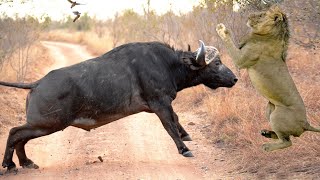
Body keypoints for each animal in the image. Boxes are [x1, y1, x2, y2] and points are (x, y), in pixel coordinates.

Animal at [0, 40, 238, 172]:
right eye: (217, 63)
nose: (234, 78)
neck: (167, 64)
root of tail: (37, 83)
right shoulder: (160, 104)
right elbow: (170, 125)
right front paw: (184, 148)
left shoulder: (164, 104)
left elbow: (176, 119)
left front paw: (186, 136)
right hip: (48, 124)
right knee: (15, 133)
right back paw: (10, 165)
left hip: (43, 126)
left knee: (21, 138)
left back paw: (25, 162)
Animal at [215, 5, 320, 151]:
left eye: (261, 15)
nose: (248, 16)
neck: (269, 35)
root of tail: (306, 123)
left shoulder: (241, 60)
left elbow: (229, 41)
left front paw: (222, 29)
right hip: (269, 107)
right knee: (285, 136)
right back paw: (266, 133)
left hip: (277, 115)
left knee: (287, 142)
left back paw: (267, 146)